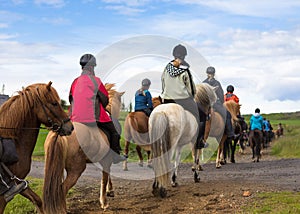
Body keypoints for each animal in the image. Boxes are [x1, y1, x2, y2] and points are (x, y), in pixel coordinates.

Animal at [0, 81, 73, 212]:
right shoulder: (4, 194)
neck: (13, 141)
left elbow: (38, 200)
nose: (70, 127)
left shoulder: (18, 184)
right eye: (54, 103)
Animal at [42, 83, 125, 212]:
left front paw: (109, 191)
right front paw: (104, 202)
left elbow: (107, 175)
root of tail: (60, 133)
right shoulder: (106, 159)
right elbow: (104, 178)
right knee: (62, 189)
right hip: (77, 168)